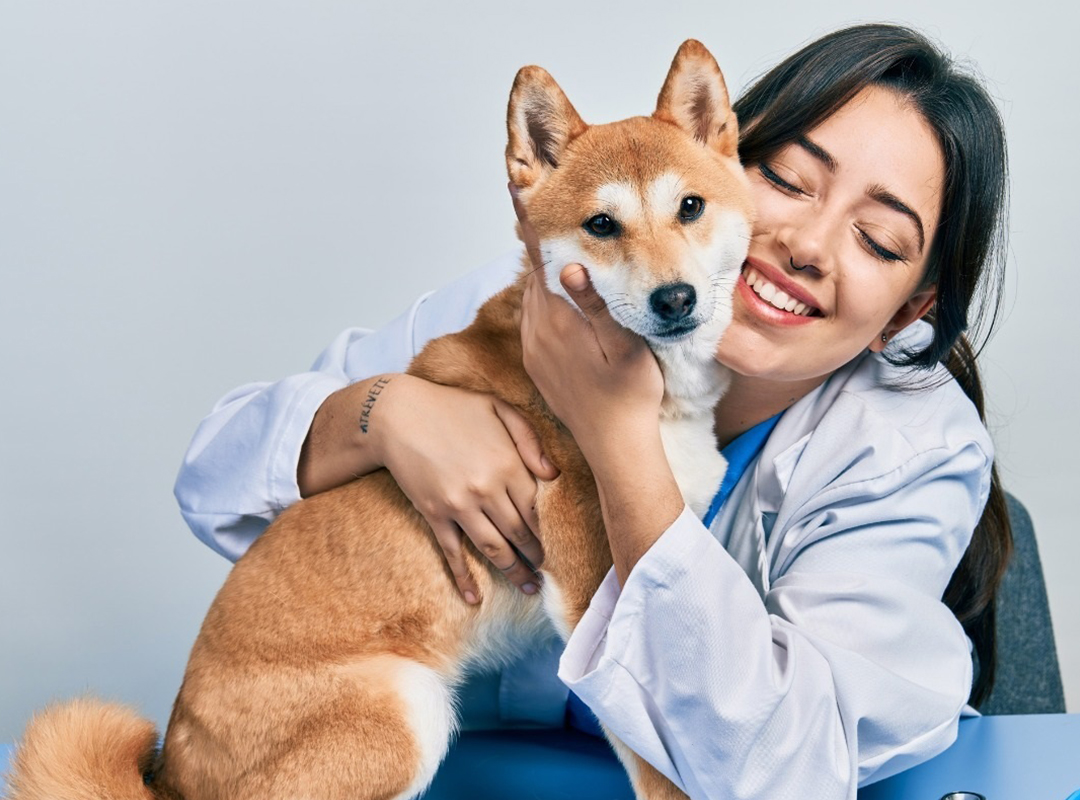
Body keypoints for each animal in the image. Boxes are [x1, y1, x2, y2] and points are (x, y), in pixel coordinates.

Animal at [8, 39, 751, 798]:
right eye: (602, 224)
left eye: (690, 207)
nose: (675, 298)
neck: (652, 403)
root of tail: (174, 775)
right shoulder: (591, 603)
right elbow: (657, 761)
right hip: (407, 710)